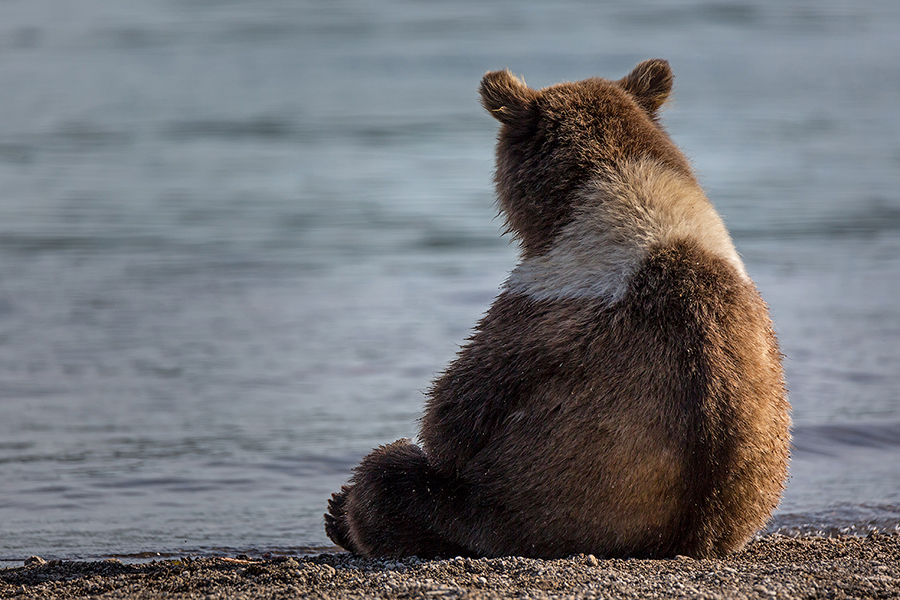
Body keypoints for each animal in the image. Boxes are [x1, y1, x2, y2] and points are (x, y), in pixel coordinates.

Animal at [326, 58, 792, 560]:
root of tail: (686, 540)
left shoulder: (537, 310)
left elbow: (451, 417)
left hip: (509, 515)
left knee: (390, 481)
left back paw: (343, 513)